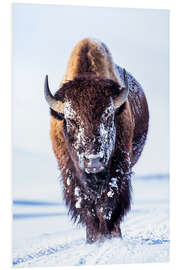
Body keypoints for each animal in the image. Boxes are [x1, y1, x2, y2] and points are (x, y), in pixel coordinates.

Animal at [44, 37, 149, 243]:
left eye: (109, 118)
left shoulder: (118, 168)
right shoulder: (71, 173)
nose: (93, 161)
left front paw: (108, 236)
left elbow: (107, 203)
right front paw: (93, 238)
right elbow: (86, 206)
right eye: (71, 121)